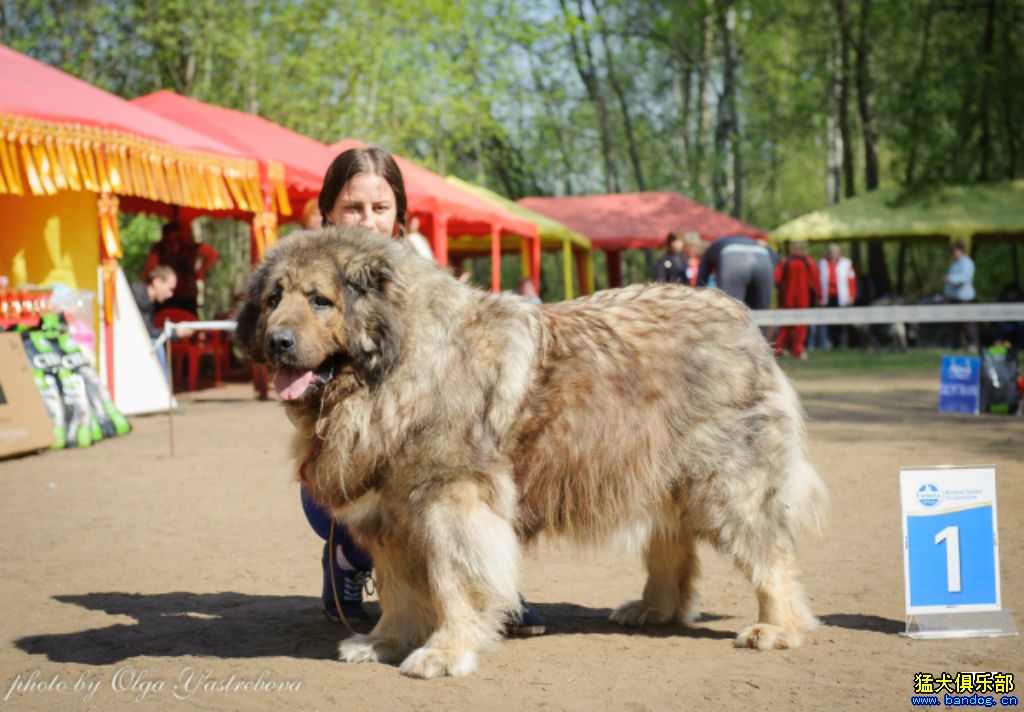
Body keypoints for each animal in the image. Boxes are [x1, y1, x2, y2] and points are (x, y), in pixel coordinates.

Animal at [235, 227, 827, 680]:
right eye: (273, 299)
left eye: (320, 300)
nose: (278, 342)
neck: (394, 370)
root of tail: (738, 313)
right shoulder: (389, 513)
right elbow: (401, 590)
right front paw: (384, 642)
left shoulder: (451, 502)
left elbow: (452, 583)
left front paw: (445, 651)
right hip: (655, 472)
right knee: (673, 545)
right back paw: (655, 608)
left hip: (726, 482)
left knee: (770, 554)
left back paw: (776, 627)